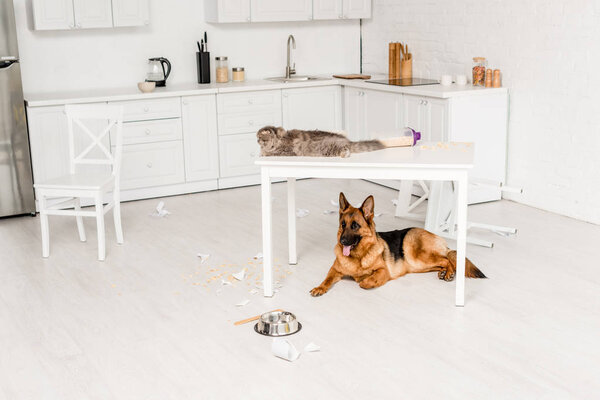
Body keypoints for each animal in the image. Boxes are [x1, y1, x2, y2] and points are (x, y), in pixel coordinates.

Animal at [310, 192, 488, 298]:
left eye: (355, 226)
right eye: (343, 224)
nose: (342, 242)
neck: (359, 256)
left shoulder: (383, 271)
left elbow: (367, 281)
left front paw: (364, 281)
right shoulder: (335, 270)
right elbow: (327, 279)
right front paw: (319, 287)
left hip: (417, 256)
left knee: (447, 259)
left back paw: (449, 273)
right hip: (418, 266)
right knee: (442, 262)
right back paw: (444, 272)